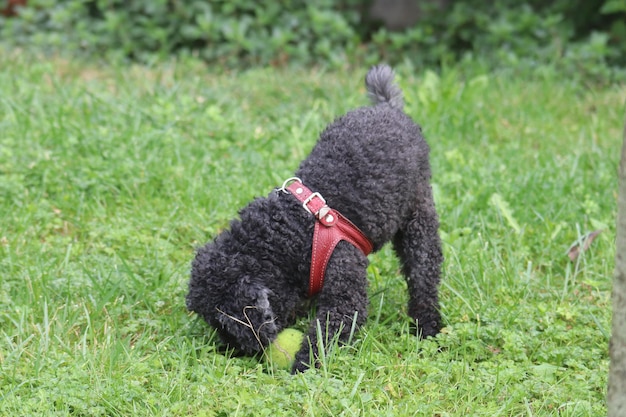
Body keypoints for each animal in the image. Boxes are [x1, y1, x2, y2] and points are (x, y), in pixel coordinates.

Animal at [188, 64, 442, 370]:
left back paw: (428, 326)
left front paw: (303, 365)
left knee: (424, 273)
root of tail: (388, 107)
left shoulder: (344, 287)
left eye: (225, 324)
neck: (292, 230)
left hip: (419, 216)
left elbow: (328, 331)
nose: (231, 350)